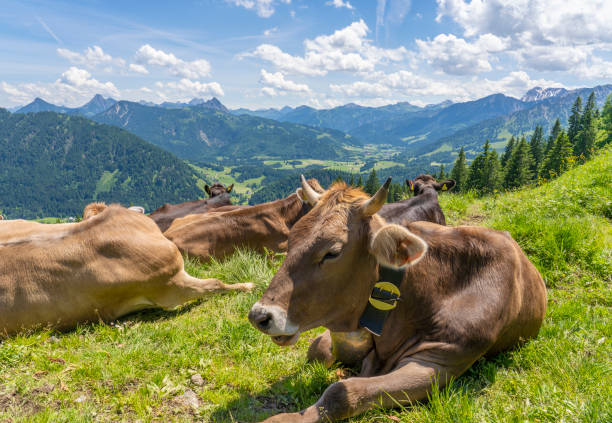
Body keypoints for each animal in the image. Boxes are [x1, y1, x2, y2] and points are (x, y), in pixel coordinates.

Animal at [251, 176, 548, 423]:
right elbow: (317, 350)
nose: (259, 316)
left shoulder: (441, 360)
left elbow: (341, 392)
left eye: (332, 252)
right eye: (291, 238)